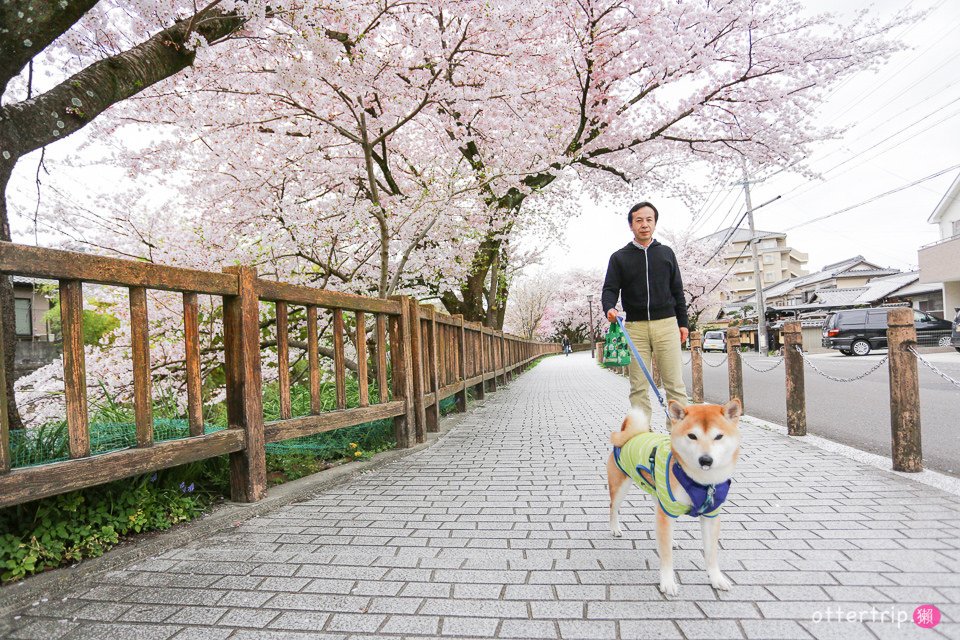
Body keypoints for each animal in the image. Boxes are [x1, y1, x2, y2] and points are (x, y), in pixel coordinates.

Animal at [608, 400, 744, 596]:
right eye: (692, 436)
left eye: (719, 436)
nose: (705, 460)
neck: (701, 482)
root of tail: (631, 434)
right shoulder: (667, 510)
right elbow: (666, 556)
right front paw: (667, 582)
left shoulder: (711, 516)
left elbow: (711, 553)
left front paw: (716, 579)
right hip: (621, 486)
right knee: (613, 507)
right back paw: (615, 528)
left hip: (658, 495)